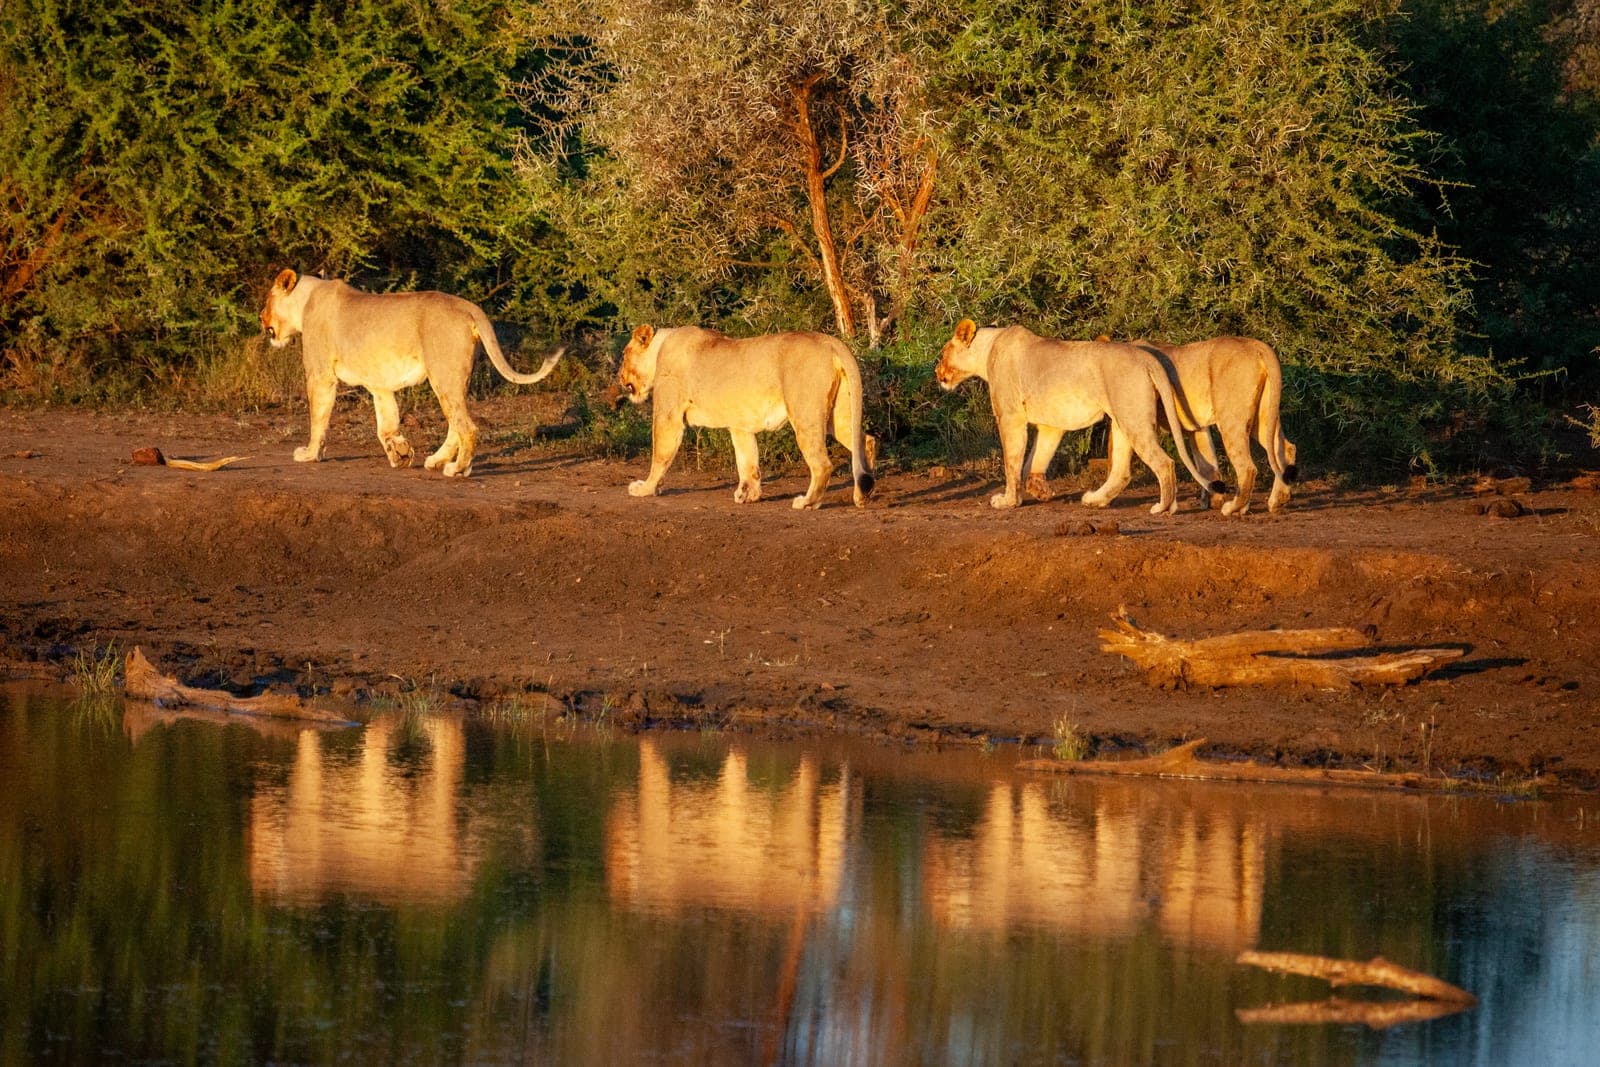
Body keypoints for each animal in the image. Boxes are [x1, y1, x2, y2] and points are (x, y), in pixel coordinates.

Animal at [260, 269, 564, 477]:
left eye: (267, 301)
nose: (260, 319)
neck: (306, 300)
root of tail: (468, 306)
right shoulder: (378, 383)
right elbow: (386, 423)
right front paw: (401, 454)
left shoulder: (320, 374)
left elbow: (318, 418)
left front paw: (309, 454)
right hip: (453, 377)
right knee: (455, 424)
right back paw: (438, 461)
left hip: (443, 373)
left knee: (466, 426)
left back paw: (457, 469)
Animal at [617, 324, 875, 509]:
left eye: (624, 354)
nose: (619, 377)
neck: (660, 348)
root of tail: (829, 342)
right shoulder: (740, 425)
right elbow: (747, 460)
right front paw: (749, 494)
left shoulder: (668, 416)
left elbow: (659, 456)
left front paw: (644, 488)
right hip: (838, 415)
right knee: (866, 440)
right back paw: (863, 494)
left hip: (804, 413)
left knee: (822, 464)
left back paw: (807, 503)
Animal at [935, 320, 1224, 513]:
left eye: (943, 353)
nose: (937, 372)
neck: (988, 350)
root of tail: (1146, 357)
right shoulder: (1051, 423)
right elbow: (1037, 458)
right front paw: (1041, 491)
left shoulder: (1010, 416)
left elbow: (1012, 461)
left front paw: (1008, 501)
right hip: (1122, 420)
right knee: (1122, 470)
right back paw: (1096, 500)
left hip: (1133, 419)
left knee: (1164, 462)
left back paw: (1164, 507)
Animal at [1130, 337, 1299, 515]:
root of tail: (1256, 345)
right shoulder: (1197, 427)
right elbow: (1206, 464)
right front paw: (1213, 499)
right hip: (1263, 416)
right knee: (1286, 448)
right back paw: (1277, 501)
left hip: (1230, 419)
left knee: (1247, 467)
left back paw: (1233, 508)